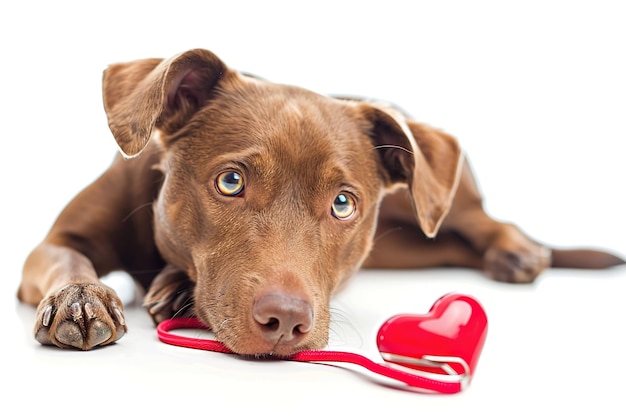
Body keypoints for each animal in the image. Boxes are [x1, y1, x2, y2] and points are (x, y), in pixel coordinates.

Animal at [17, 48, 620, 354]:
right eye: (230, 182)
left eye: (343, 204)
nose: (285, 321)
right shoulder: (52, 243)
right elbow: (67, 258)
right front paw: (80, 298)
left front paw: (177, 288)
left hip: (444, 204)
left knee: (487, 220)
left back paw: (517, 252)